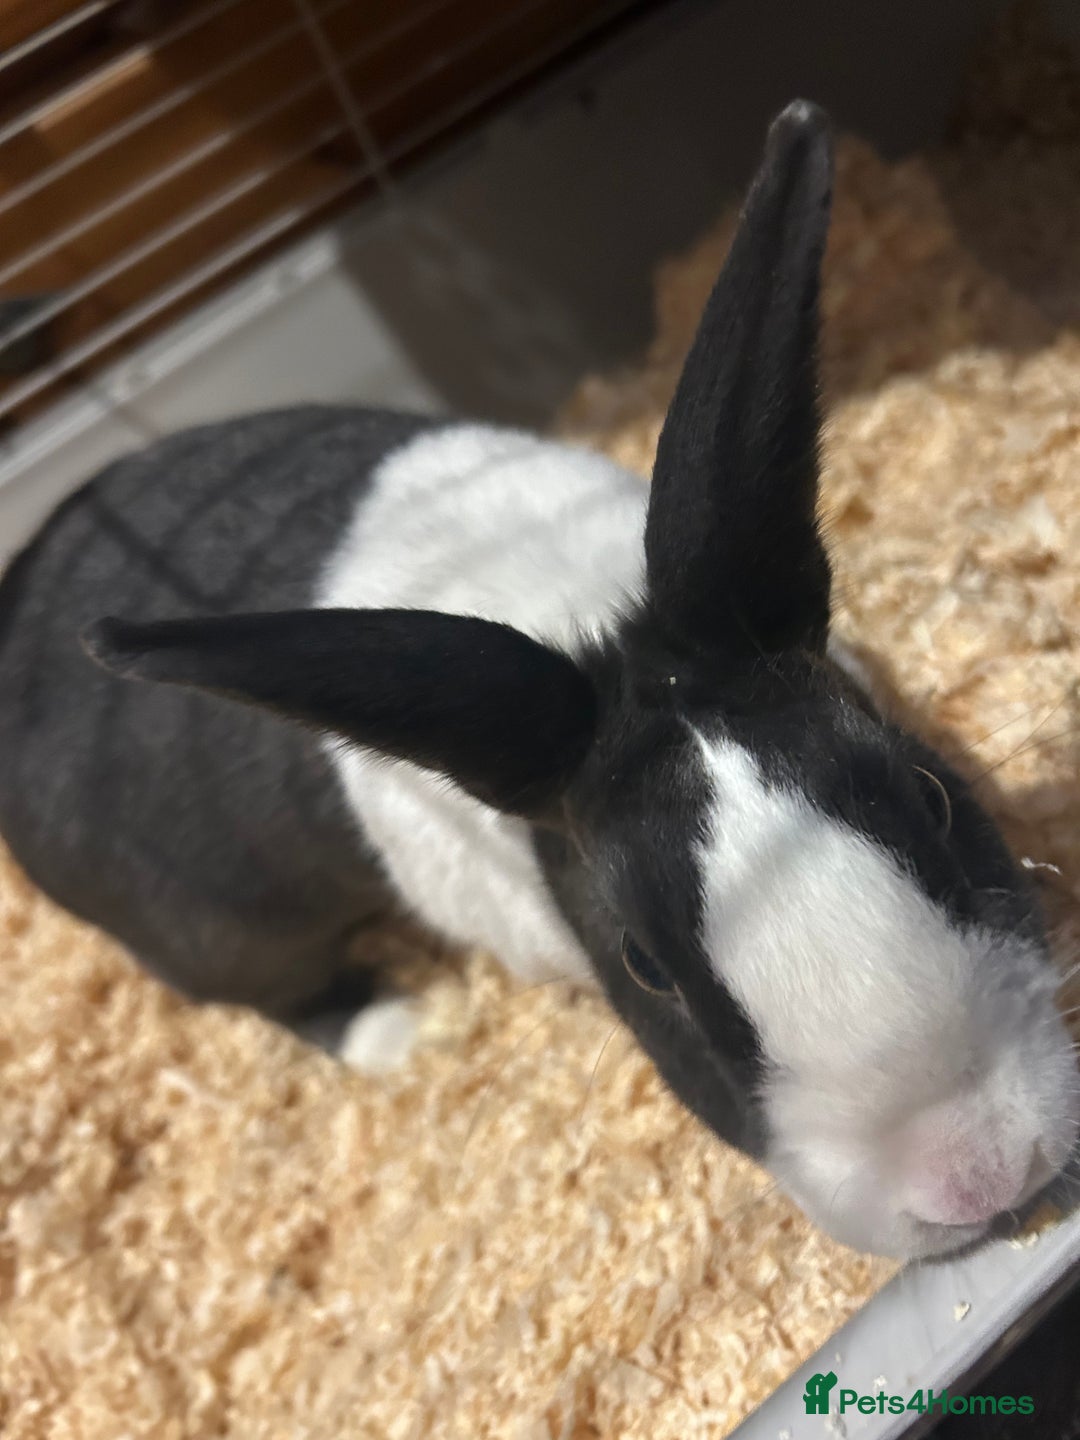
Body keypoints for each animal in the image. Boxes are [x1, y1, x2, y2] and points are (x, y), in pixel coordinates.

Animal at [1, 102, 1077, 1260]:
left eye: (928, 795)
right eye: (644, 964)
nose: (981, 1174)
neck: (590, 630)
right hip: (222, 930)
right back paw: (404, 1028)